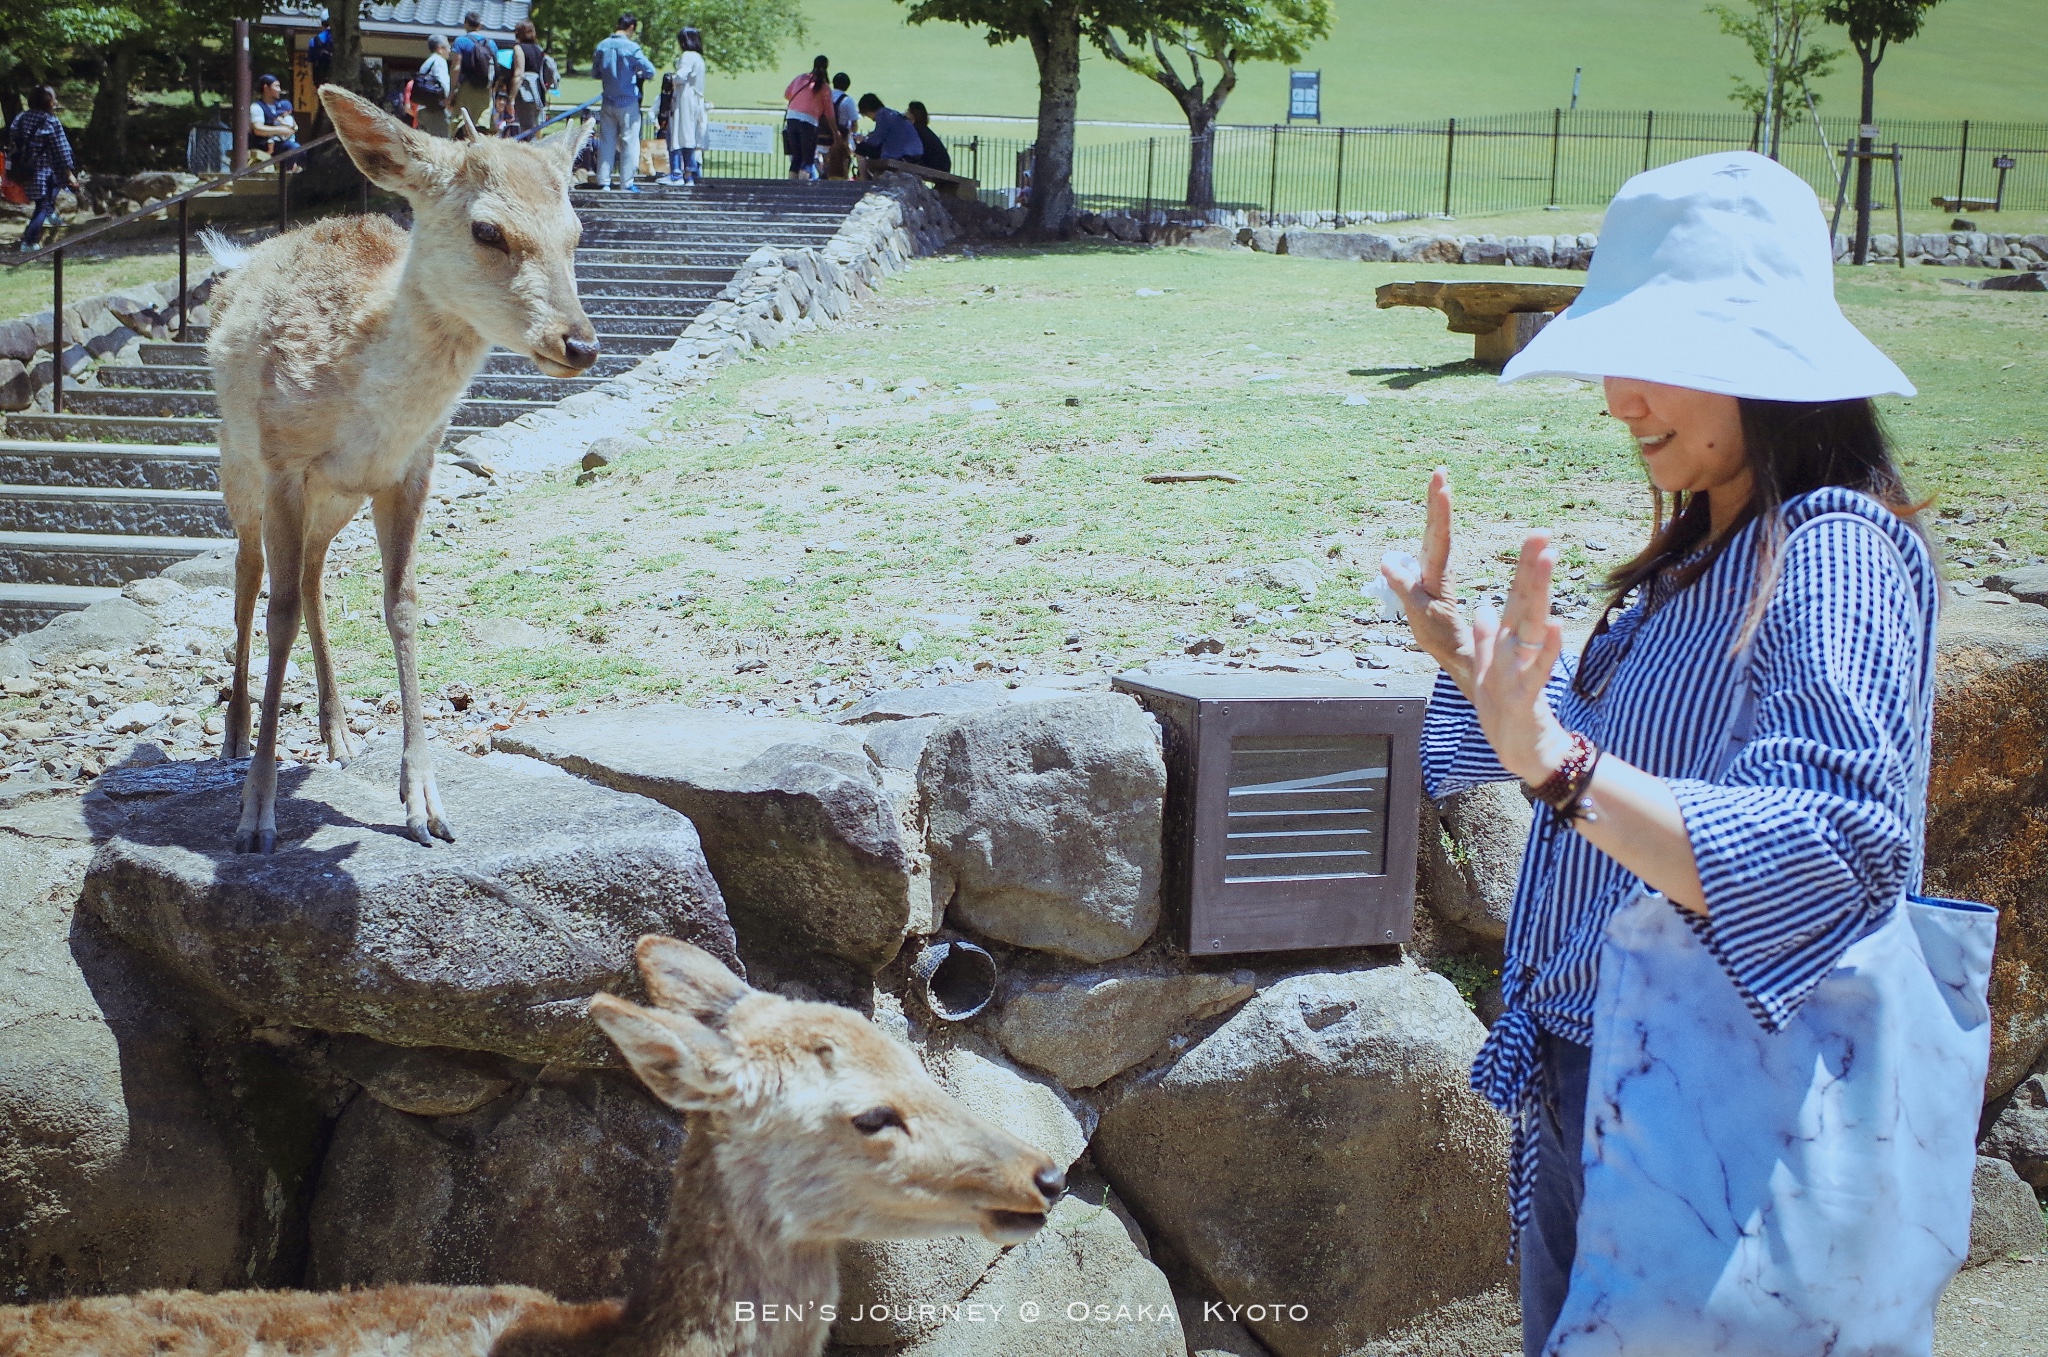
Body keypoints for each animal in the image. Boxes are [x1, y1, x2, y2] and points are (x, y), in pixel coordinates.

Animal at [208, 84, 598, 855]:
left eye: (575, 231)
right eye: (487, 231)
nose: (579, 343)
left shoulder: (413, 468)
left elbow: (404, 606)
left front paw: (425, 805)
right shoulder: (282, 461)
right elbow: (277, 614)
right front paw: (255, 816)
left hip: (336, 501)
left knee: (312, 573)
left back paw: (337, 732)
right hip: (237, 467)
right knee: (249, 577)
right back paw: (235, 737)